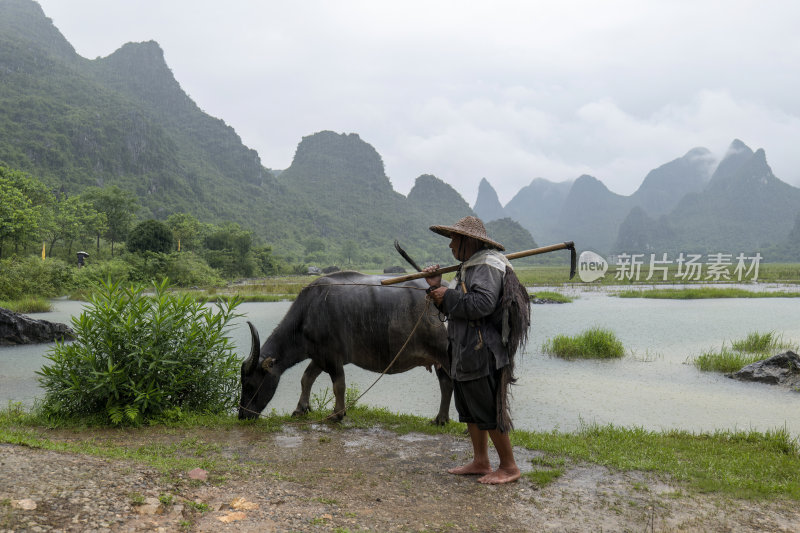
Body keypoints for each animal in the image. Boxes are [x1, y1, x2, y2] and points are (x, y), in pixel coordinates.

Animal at [238, 272, 454, 422]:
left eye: (250, 385)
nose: (242, 415)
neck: (307, 314)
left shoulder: (332, 357)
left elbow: (338, 385)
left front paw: (337, 414)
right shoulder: (319, 356)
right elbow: (306, 379)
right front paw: (300, 409)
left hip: (445, 354)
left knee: (451, 382)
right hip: (438, 359)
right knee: (446, 383)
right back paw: (440, 419)